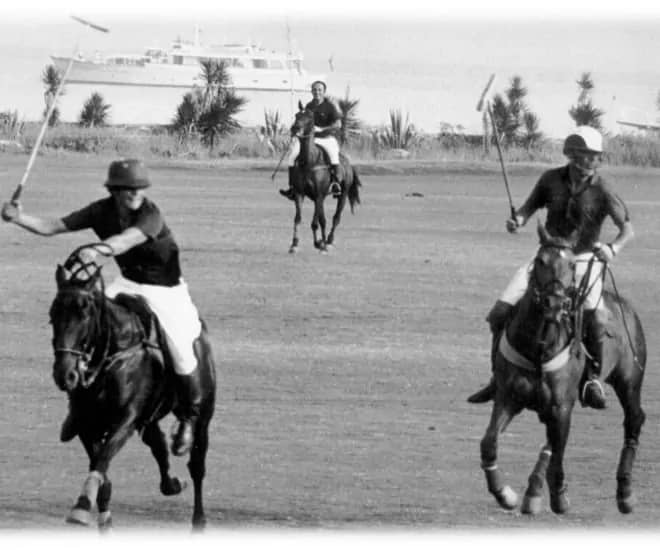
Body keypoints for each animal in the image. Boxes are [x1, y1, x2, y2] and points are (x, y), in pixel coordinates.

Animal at [50, 245, 219, 532]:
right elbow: (101, 467)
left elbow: (103, 458)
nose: (65, 375)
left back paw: (199, 519)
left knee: (197, 464)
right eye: (52, 316)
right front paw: (103, 517)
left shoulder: (125, 420)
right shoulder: (87, 423)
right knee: (158, 444)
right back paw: (172, 483)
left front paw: (81, 507)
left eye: (86, 315)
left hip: (203, 413)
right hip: (149, 417)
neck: (113, 354)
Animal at [288, 102, 360, 254]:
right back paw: (323, 241)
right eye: (296, 115)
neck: (309, 161)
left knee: (335, 218)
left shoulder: (318, 195)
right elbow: (298, 218)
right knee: (323, 218)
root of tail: (347, 163)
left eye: (309, 117)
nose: (295, 128)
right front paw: (294, 244)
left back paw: (329, 241)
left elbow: (316, 222)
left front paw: (321, 244)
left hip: (342, 194)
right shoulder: (300, 194)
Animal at [476, 224, 648, 516]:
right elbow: (489, 443)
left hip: (629, 381)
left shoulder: (561, 406)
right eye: (540, 261)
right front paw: (504, 493)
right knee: (548, 443)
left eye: (570, 264)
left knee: (634, 418)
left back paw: (625, 492)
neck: (539, 346)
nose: (554, 303)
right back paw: (532, 494)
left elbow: (557, 456)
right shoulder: (509, 398)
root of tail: (623, 305)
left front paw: (559, 497)